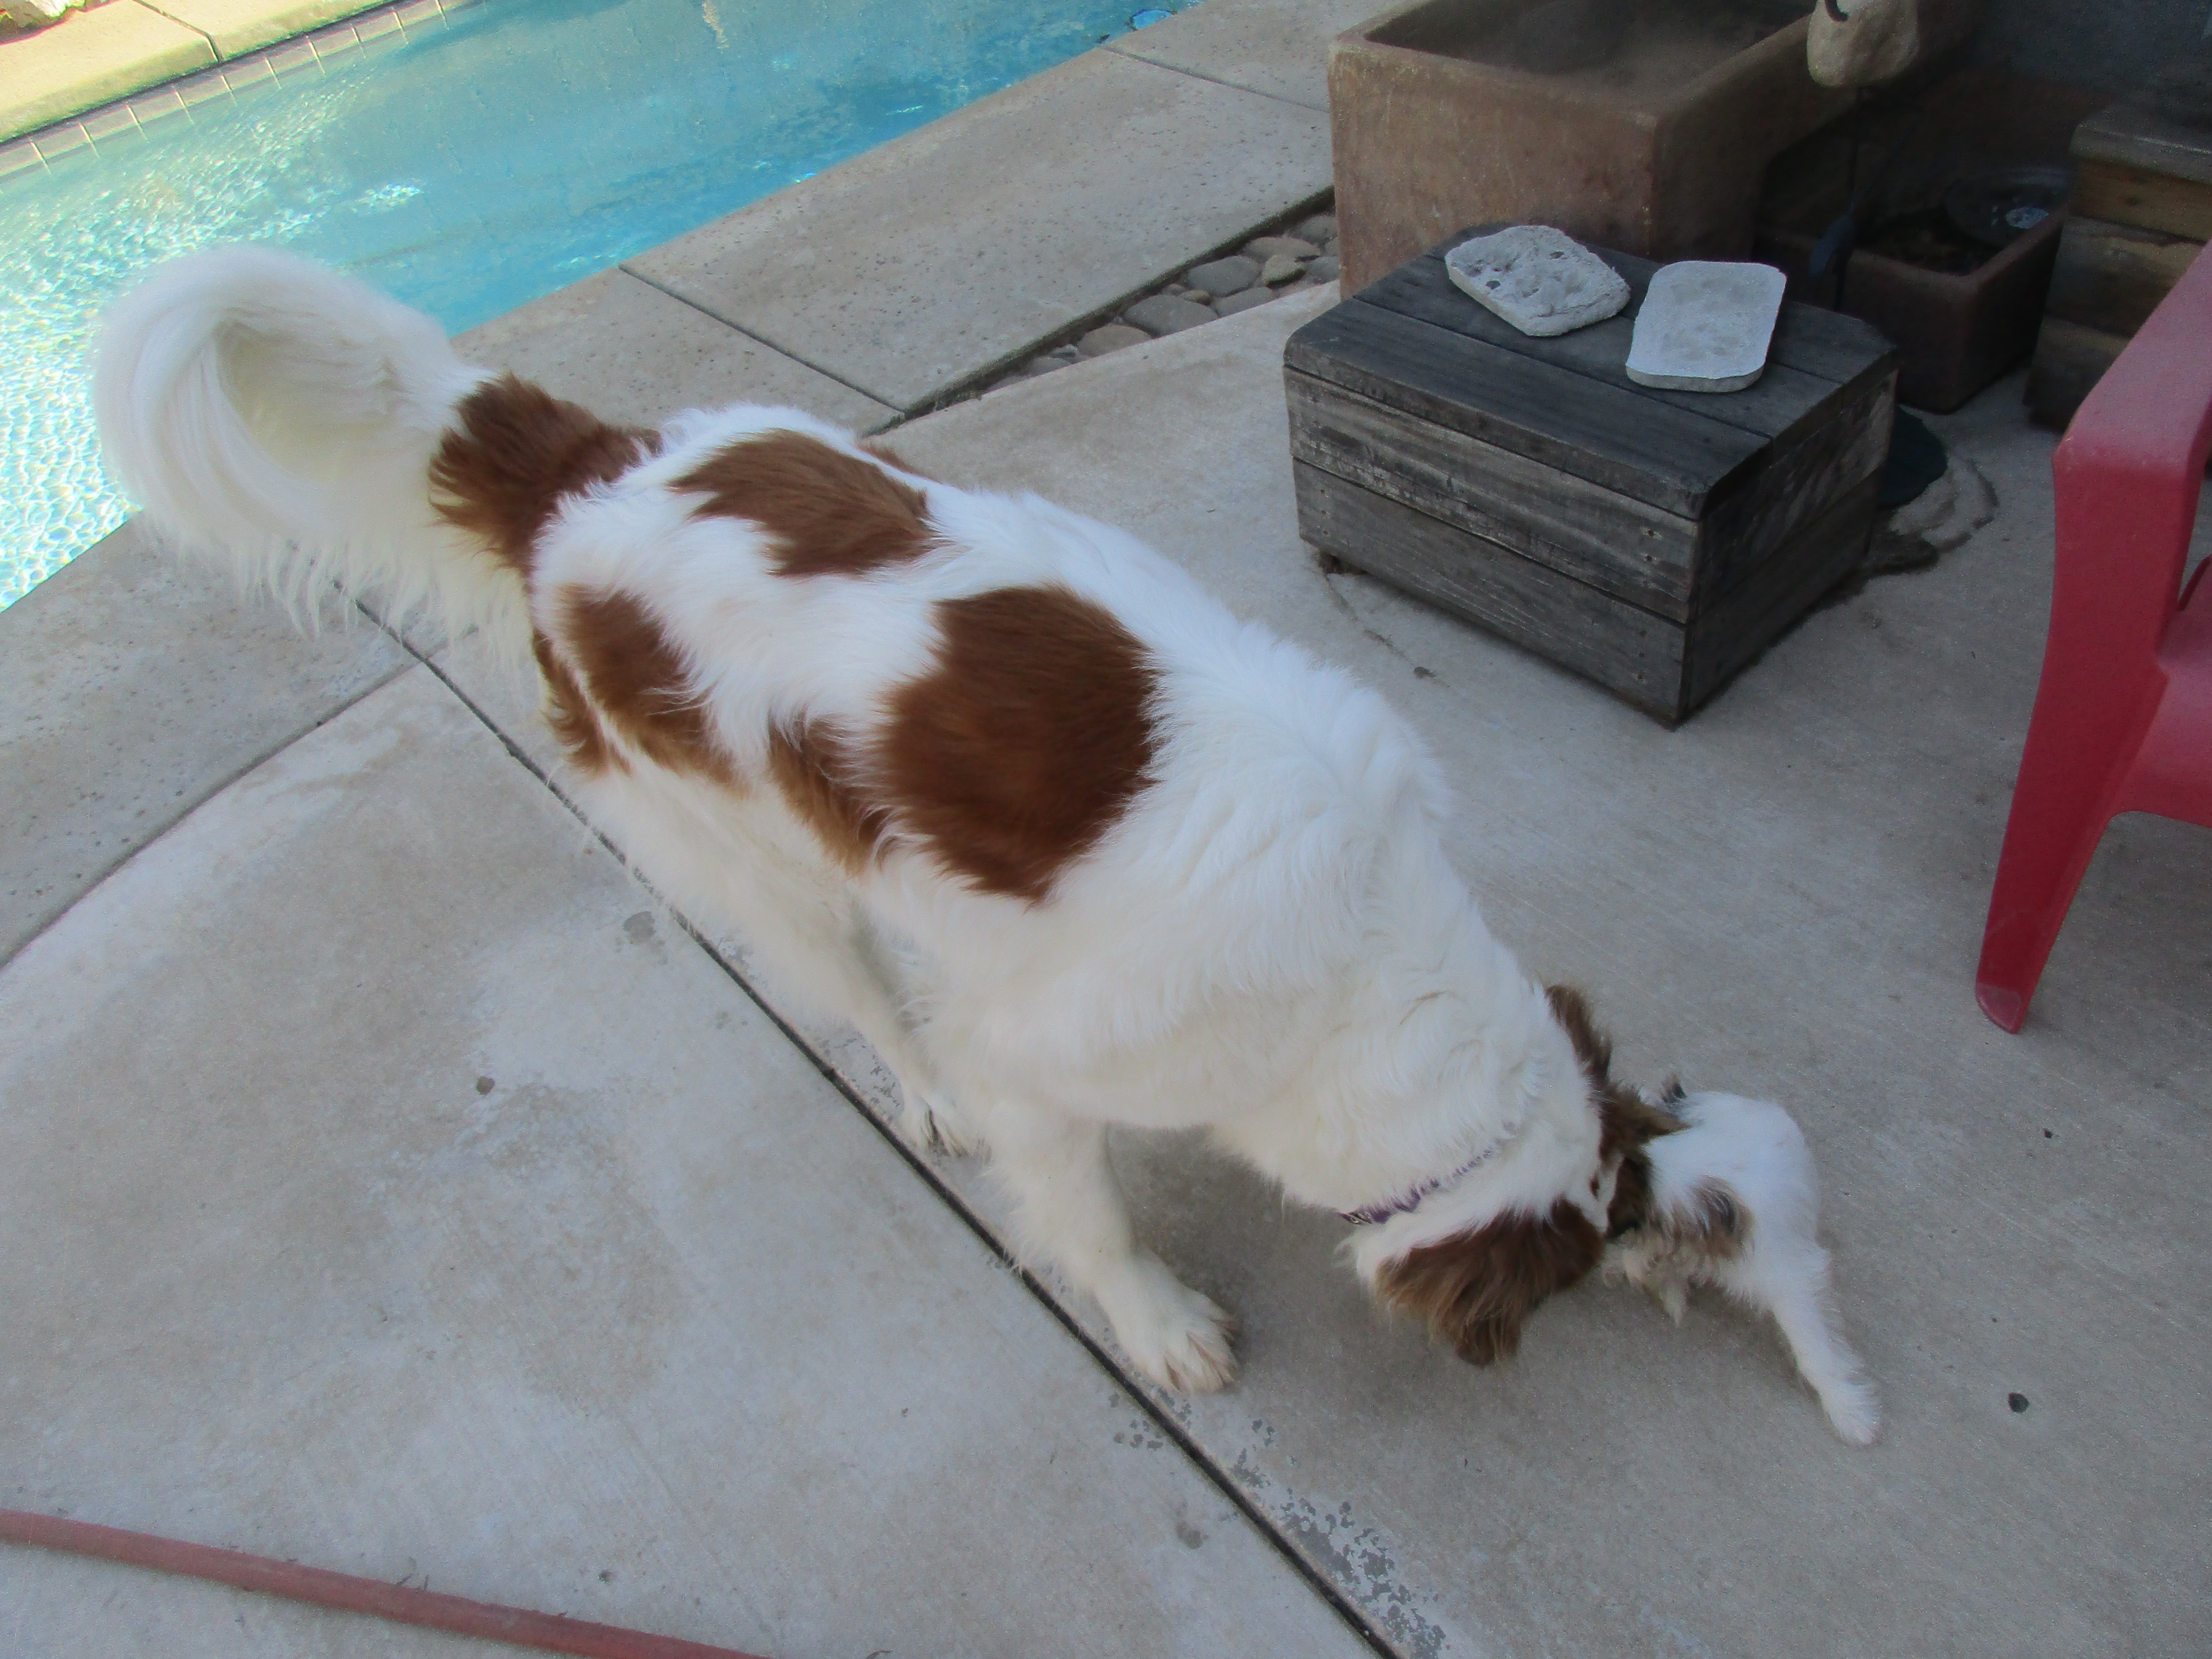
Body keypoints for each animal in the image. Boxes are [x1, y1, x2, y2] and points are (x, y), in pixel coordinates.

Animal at [94, 246, 1876, 1438]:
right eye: (1588, 1256)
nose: (1661, 1244)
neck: (1366, 959)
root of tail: (586, 474)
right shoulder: (1053, 1063)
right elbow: (1081, 1207)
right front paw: (1157, 1322)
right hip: (754, 862)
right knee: (867, 994)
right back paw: (920, 1086)